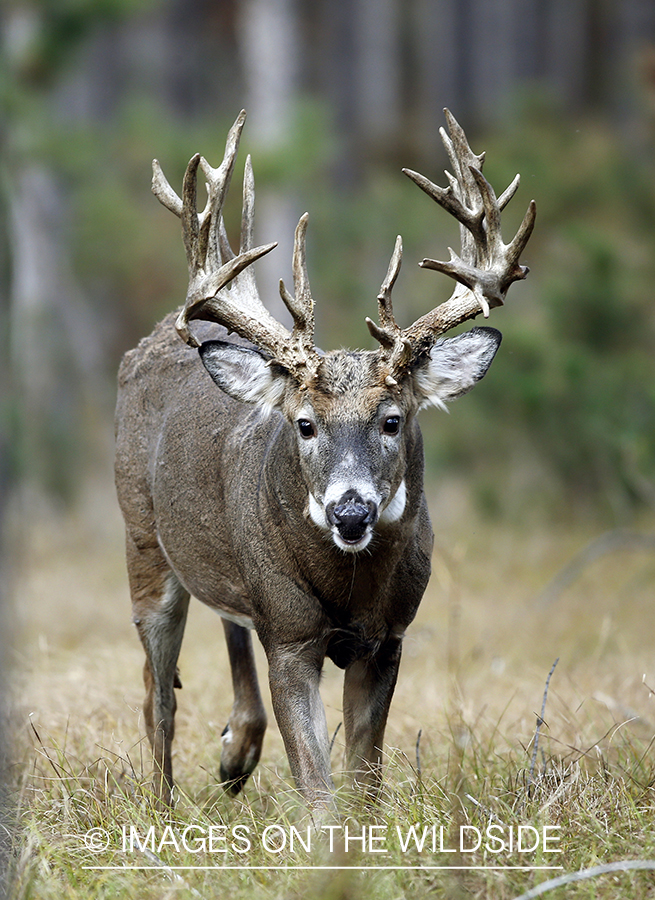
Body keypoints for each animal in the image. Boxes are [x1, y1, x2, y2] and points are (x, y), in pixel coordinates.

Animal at [115, 109, 536, 812]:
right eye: (305, 424)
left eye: (392, 419)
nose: (350, 511)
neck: (350, 592)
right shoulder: (289, 635)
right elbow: (315, 782)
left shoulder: (388, 638)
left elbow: (365, 775)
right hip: (142, 539)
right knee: (156, 689)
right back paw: (163, 807)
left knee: (224, 626)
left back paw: (235, 752)